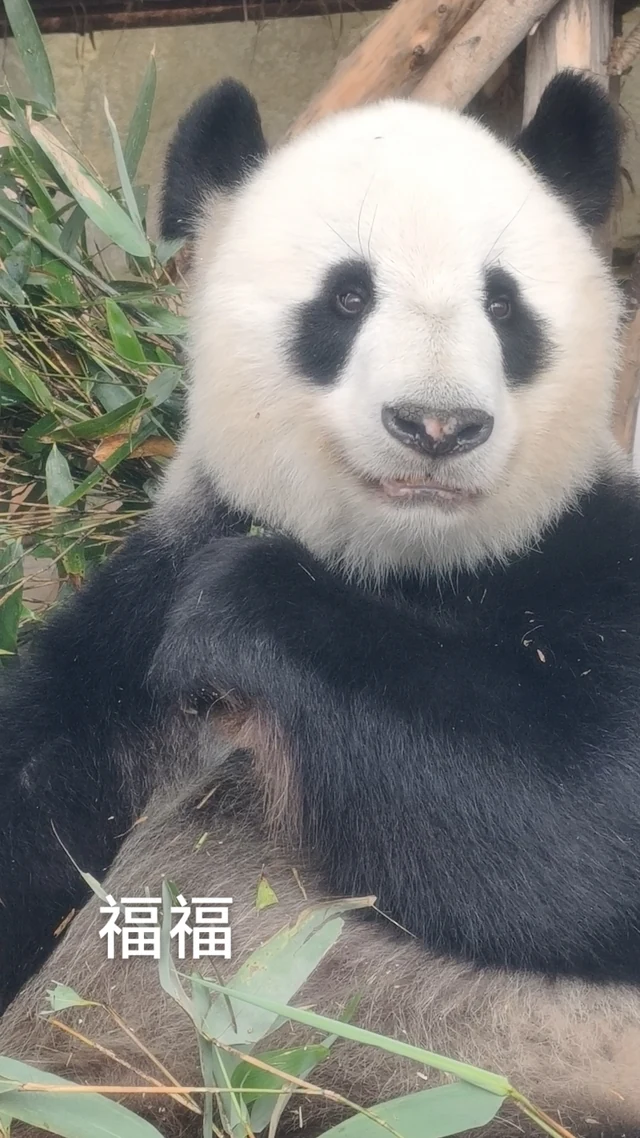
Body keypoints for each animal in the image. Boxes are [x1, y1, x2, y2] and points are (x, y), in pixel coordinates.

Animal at [1, 66, 640, 1138]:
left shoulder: (589, 552)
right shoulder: (122, 643)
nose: (437, 425)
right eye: (347, 296)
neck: (403, 569)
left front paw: (245, 609)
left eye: (503, 305)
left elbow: (592, 817)